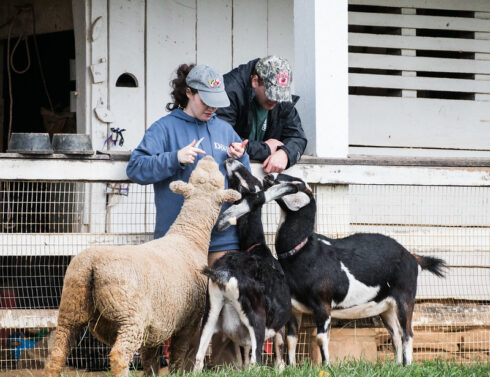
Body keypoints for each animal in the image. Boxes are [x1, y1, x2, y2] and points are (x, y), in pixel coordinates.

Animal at [45, 154, 240, 374]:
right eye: (218, 178)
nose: (207, 156)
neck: (189, 235)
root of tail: (91, 266)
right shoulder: (189, 322)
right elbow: (178, 354)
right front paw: (176, 372)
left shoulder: (156, 325)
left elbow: (150, 359)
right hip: (129, 314)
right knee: (120, 354)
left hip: (72, 305)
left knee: (58, 351)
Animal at [194, 159, 300, 370]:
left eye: (249, 182)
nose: (230, 159)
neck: (257, 247)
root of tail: (226, 274)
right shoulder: (279, 324)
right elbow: (280, 346)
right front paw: (282, 368)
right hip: (255, 319)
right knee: (255, 361)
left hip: (210, 313)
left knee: (200, 357)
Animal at [216, 164, 446, 364]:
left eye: (297, 182)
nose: (269, 177)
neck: (303, 250)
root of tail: (412, 256)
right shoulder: (295, 307)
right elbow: (291, 339)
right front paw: (290, 366)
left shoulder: (323, 304)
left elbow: (321, 338)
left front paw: (326, 365)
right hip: (385, 306)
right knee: (396, 334)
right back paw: (397, 366)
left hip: (405, 296)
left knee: (407, 333)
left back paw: (407, 364)